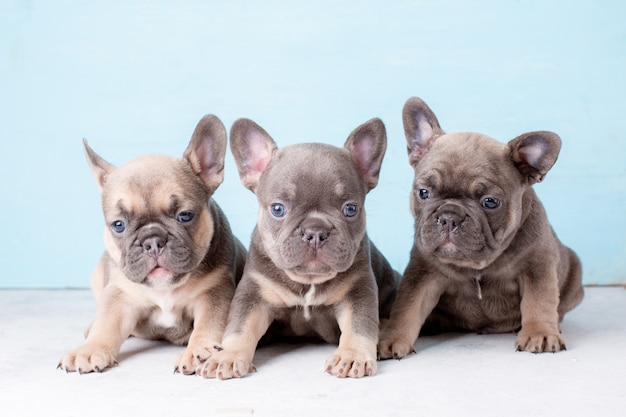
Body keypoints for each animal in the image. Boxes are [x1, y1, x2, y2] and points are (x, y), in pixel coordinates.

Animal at [57, 114, 245, 374]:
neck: (165, 289)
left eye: (185, 216)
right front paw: (89, 349)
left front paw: (198, 351)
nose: (152, 241)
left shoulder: (215, 292)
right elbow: (107, 322)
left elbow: (208, 324)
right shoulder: (119, 295)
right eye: (118, 225)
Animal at [197, 116, 398, 376]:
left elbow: (359, 325)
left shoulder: (358, 290)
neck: (308, 280)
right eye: (278, 209)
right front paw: (229, 356)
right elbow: (240, 326)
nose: (315, 231)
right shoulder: (254, 293)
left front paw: (352, 355)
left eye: (350, 209)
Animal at [376, 96, 584, 360]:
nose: (449, 217)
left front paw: (540, 333)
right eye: (423, 193)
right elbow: (407, 307)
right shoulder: (422, 274)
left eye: (490, 202)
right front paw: (391, 338)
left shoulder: (537, 266)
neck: (476, 265)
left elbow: (539, 301)